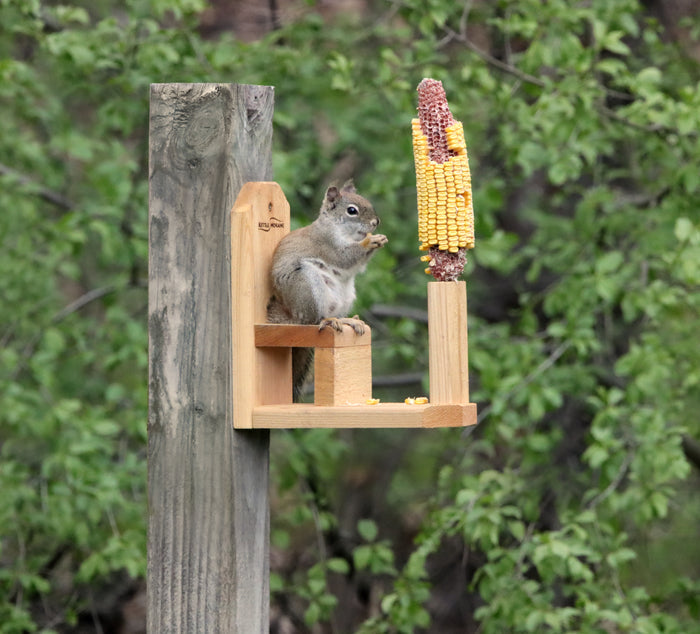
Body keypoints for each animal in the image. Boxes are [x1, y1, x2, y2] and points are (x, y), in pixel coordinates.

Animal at [266, 180, 388, 399]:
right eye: (352, 210)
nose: (376, 222)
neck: (337, 228)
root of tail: (292, 317)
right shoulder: (327, 244)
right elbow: (345, 257)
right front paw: (370, 241)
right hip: (307, 284)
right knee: (313, 320)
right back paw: (327, 321)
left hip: (346, 296)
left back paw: (347, 320)